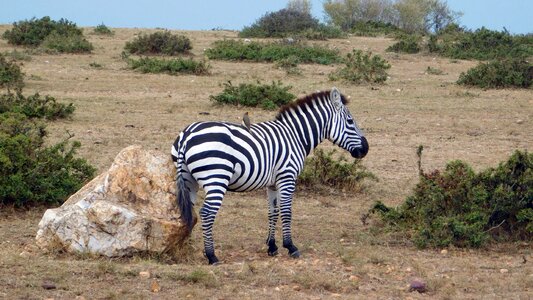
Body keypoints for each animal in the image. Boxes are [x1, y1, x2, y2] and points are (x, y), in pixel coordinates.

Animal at [172, 87, 368, 264]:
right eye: (350, 121)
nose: (365, 149)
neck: (295, 136)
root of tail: (186, 136)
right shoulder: (287, 177)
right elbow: (287, 211)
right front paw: (290, 246)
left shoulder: (273, 183)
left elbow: (273, 212)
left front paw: (272, 246)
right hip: (216, 180)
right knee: (206, 213)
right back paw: (211, 256)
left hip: (189, 181)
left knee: (189, 213)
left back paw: (186, 246)